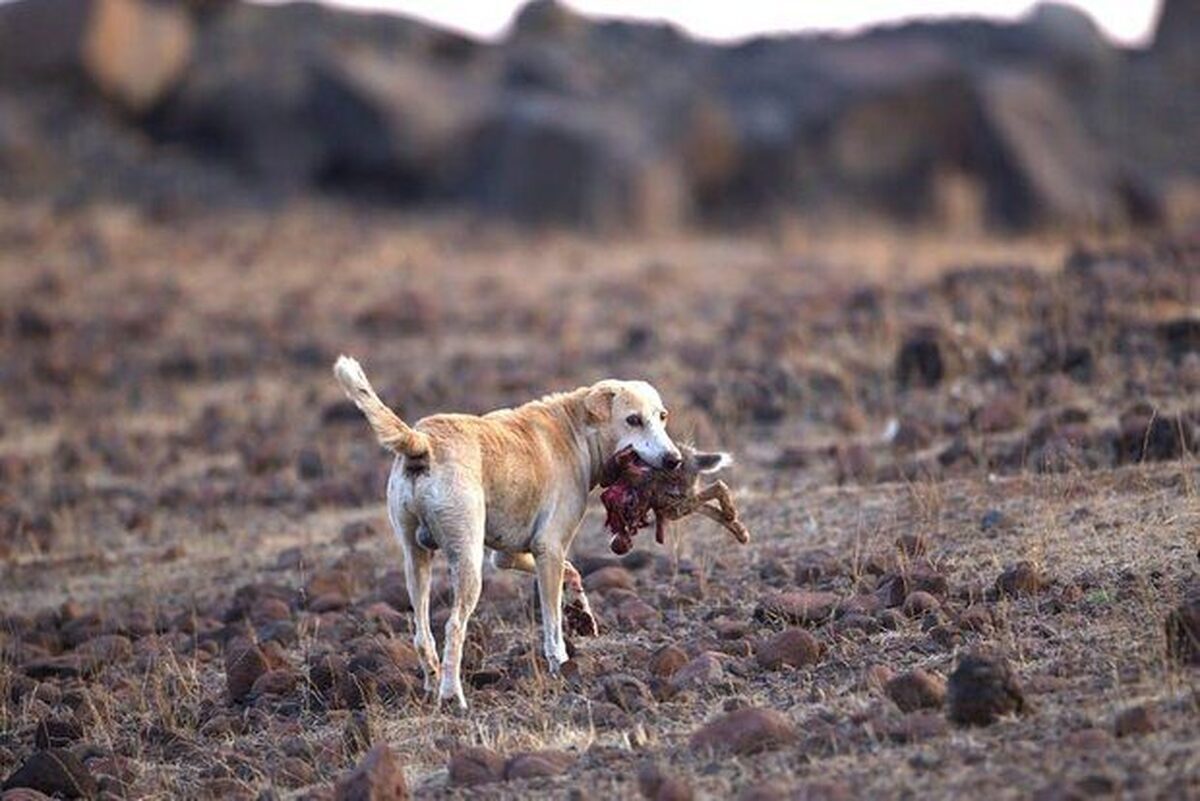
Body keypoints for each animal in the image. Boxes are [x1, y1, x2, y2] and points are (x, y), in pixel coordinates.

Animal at [333, 357, 681, 705]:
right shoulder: (549, 548)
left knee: (422, 634)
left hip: (416, 560)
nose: (674, 460)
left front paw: (581, 612)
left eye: (662, 416)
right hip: (468, 563)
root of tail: (424, 441)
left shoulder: (507, 555)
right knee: (453, 627)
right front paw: (561, 664)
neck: (577, 429)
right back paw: (453, 696)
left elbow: (572, 572)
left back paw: (432, 686)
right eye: (633, 420)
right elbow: (552, 624)